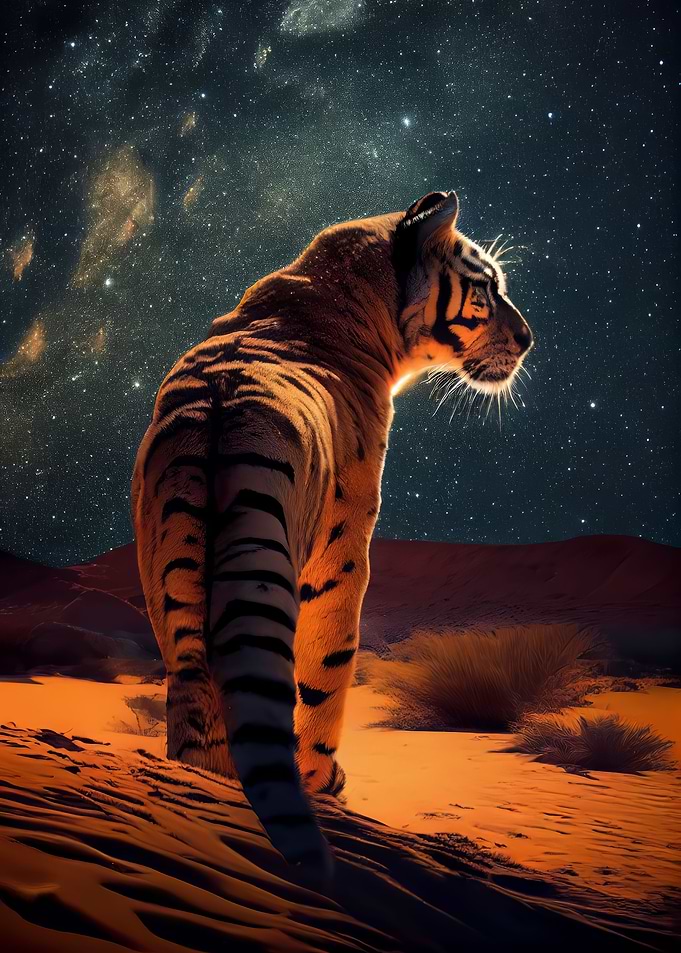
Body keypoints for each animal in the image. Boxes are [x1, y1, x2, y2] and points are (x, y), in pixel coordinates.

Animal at [131, 189, 533, 883]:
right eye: (486, 288)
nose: (529, 340)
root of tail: (218, 404)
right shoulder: (346, 552)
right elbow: (326, 674)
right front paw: (328, 782)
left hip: (170, 590)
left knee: (195, 705)